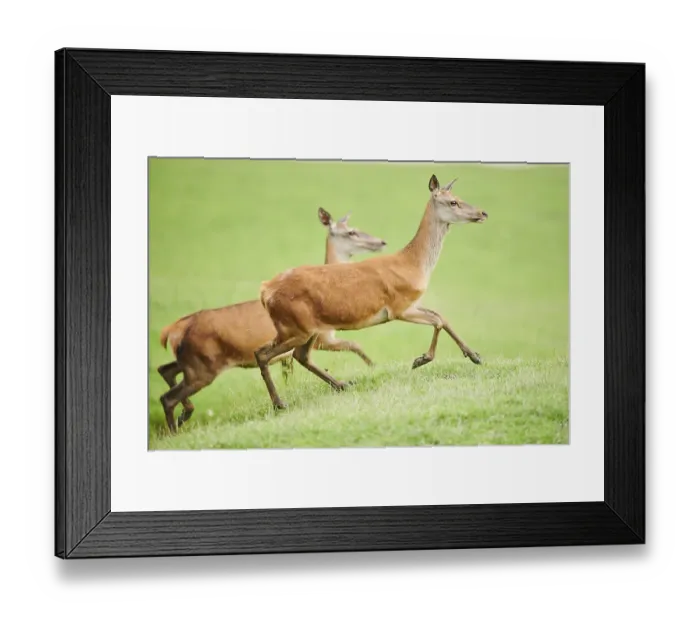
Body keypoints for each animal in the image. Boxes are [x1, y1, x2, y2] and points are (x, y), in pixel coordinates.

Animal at [157, 208, 387, 433]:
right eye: (351, 232)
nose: (381, 242)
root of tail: (172, 330)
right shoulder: (323, 337)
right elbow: (355, 345)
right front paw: (373, 368)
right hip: (203, 366)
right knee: (168, 396)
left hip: (191, 361)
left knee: (165, 370)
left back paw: (183, 415)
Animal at [254, 174, 488, 410]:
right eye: (453, 202)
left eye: (459, 197)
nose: (482, 213)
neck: (413, 265)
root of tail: (265, 291)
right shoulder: (398, 307)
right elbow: (438, 321)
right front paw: (421, 360)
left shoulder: (412, 303)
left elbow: (442, 317)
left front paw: (474, 355)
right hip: (296, 325)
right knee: (264, 354)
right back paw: (280, 403)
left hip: (304, 327)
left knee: (295, 355)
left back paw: (341, 385)